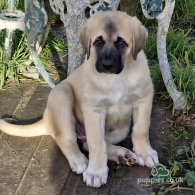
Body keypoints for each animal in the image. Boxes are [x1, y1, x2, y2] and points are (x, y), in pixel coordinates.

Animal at [0, 11, 158, 188]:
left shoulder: (144, 99)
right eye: (98, 42)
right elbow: (97, 143)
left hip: (122, 127)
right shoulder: (93, 111)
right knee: (68, 138)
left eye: (122, 43)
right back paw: (79, 160)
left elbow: (141, 130)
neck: (116, 79)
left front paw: (145, 152)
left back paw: (123, 155)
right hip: (62, 94)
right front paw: (96, 172)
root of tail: (47, 118)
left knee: (87, 142)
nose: (107, 65)